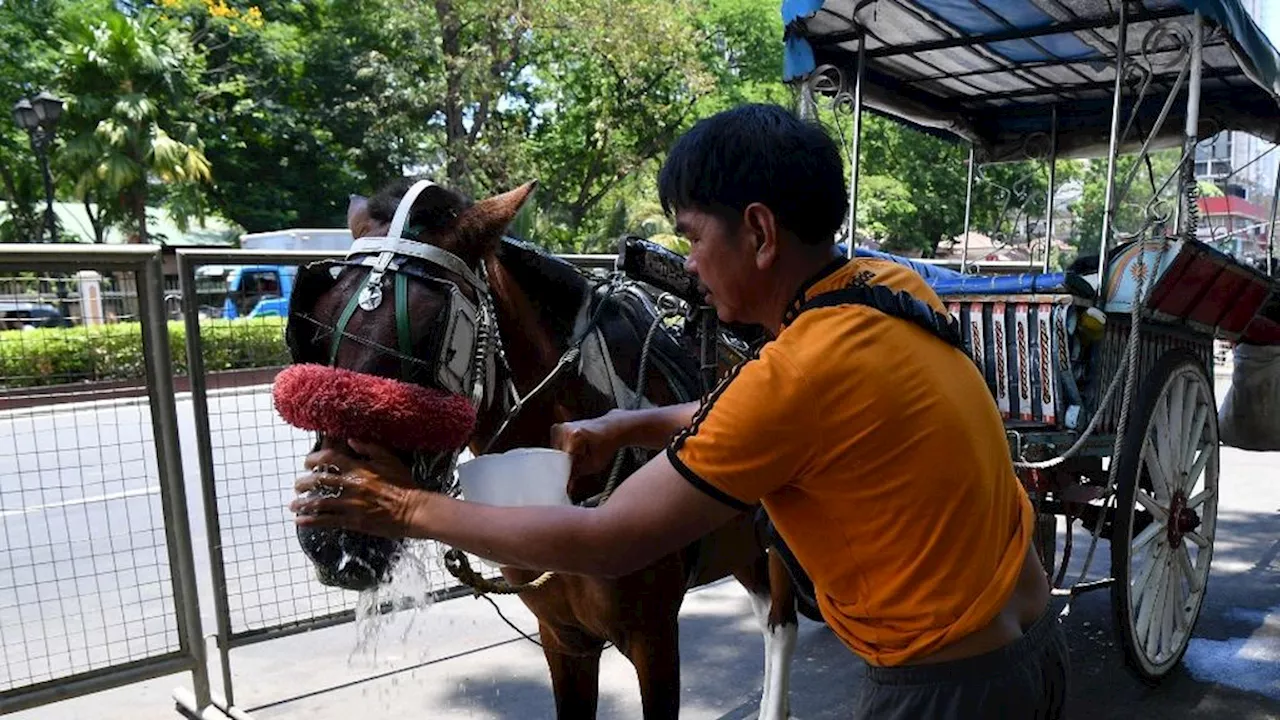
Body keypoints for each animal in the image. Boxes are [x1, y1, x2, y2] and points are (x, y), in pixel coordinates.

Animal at [284, 176, 798, 712]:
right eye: (315, 329)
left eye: (432, 338)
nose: (332, 540)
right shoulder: (562, 637)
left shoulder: (653, 636)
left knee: (782, 622)